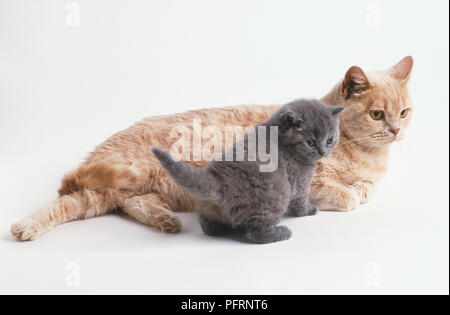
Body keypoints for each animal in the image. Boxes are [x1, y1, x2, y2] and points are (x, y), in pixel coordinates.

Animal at [152, 99, 344, 244]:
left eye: (330, 140)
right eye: (310, 142)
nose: (323, 151)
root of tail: (219, 180)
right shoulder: (299, 182)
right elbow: (301, 200)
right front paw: (310, 210)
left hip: (208, 208)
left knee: (209, 227)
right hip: (275, 195)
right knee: (255, 232)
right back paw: (281, 232)